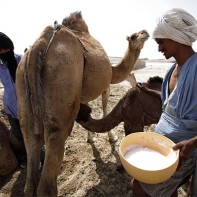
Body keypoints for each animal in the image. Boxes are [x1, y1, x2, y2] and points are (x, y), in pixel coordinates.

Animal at [62, 11, 149, 142]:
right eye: (133, 36)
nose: (145, 32)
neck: (113, 71)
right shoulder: (106, 87)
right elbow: (105, 110)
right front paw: (112, 137)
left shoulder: (86, 93)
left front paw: (90, 138)